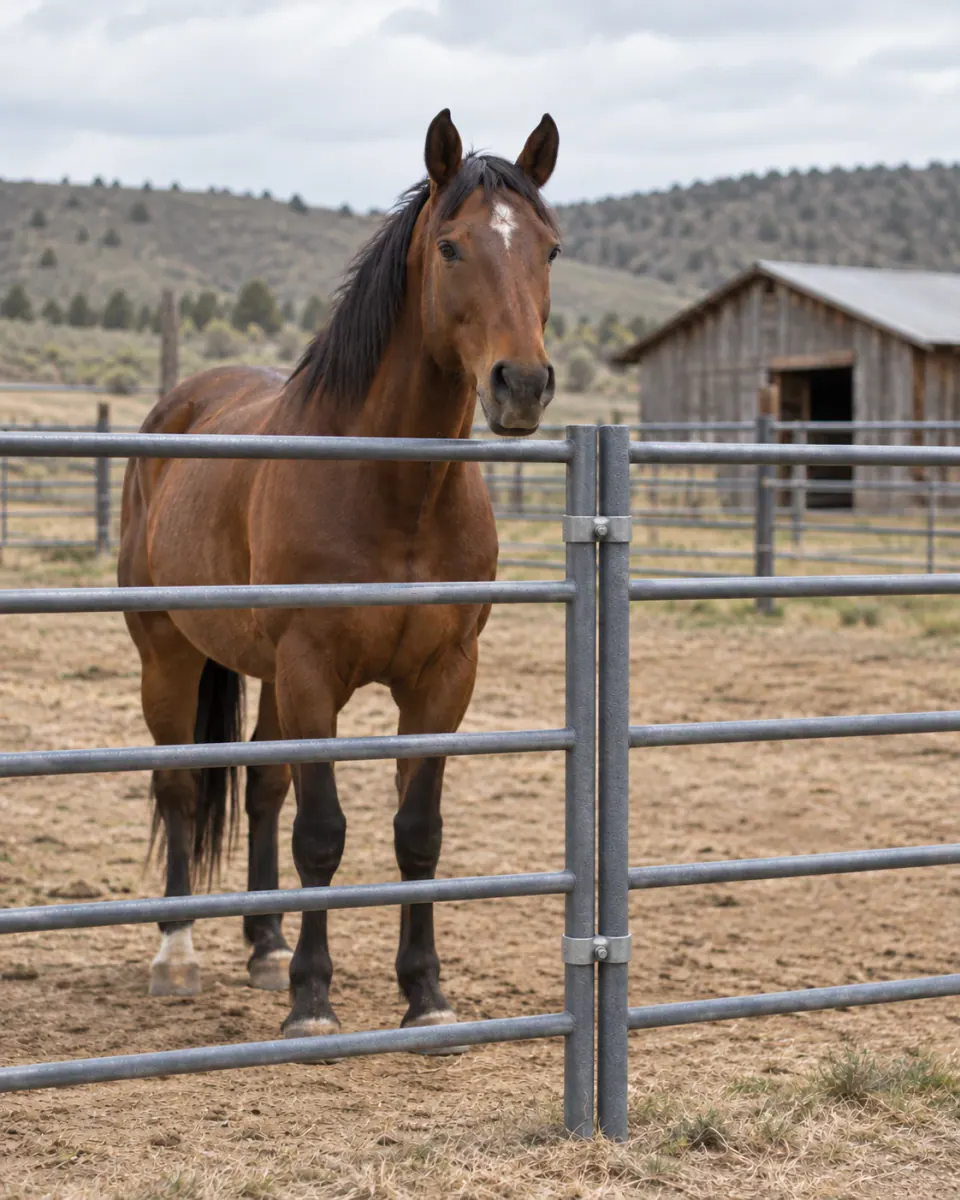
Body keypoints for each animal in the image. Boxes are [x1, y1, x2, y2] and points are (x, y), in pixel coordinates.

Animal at [118, 109, 561, 1046]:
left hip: (266, 676)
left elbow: (417, 833)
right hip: (168, 654)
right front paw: (314, 1003)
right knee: (181, 787)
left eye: (550, 248)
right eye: (452, 247)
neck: (391, 489)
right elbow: (321, 833)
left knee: (260, 788)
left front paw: (425, 993)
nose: (523, 384)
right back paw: (177, 955)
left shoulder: (443, 679)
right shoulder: (313, 670)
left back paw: (264, 946)